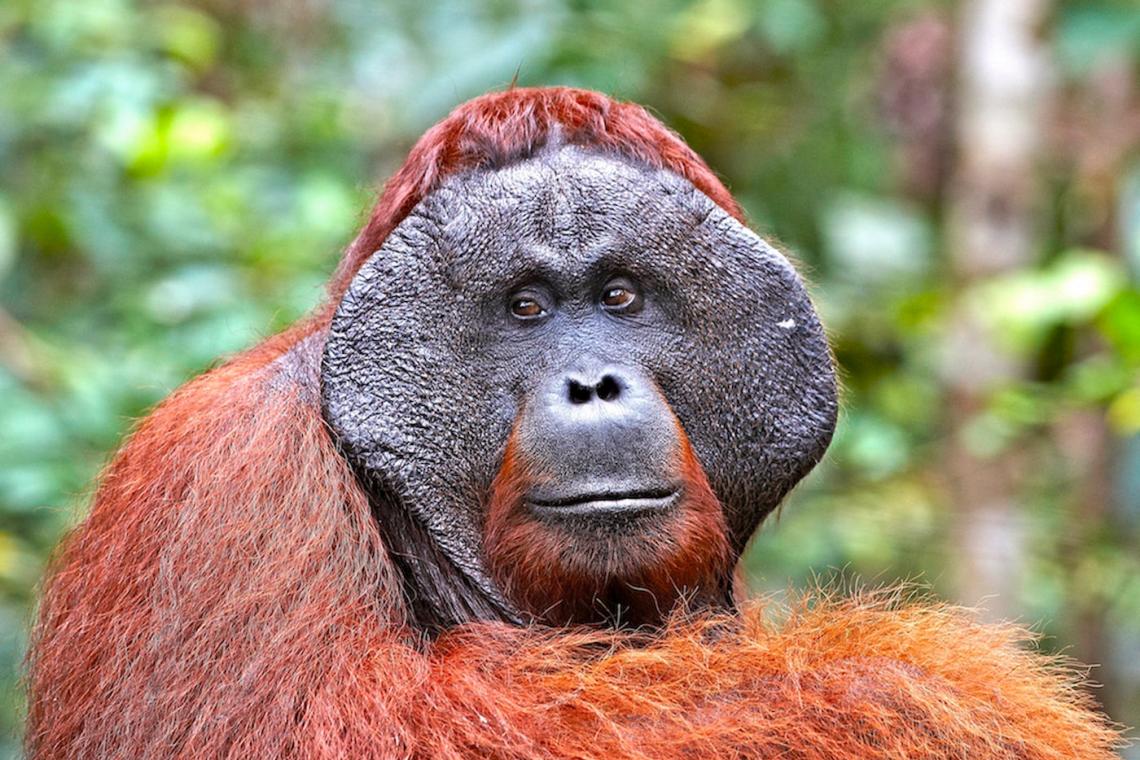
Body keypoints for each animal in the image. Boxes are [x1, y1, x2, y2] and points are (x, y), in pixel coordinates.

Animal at [26, 87, 1120, 759]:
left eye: (620, 295)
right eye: (526, 307)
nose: (592, 383)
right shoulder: (223, 481)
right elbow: (312, 733)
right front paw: (917, 693)